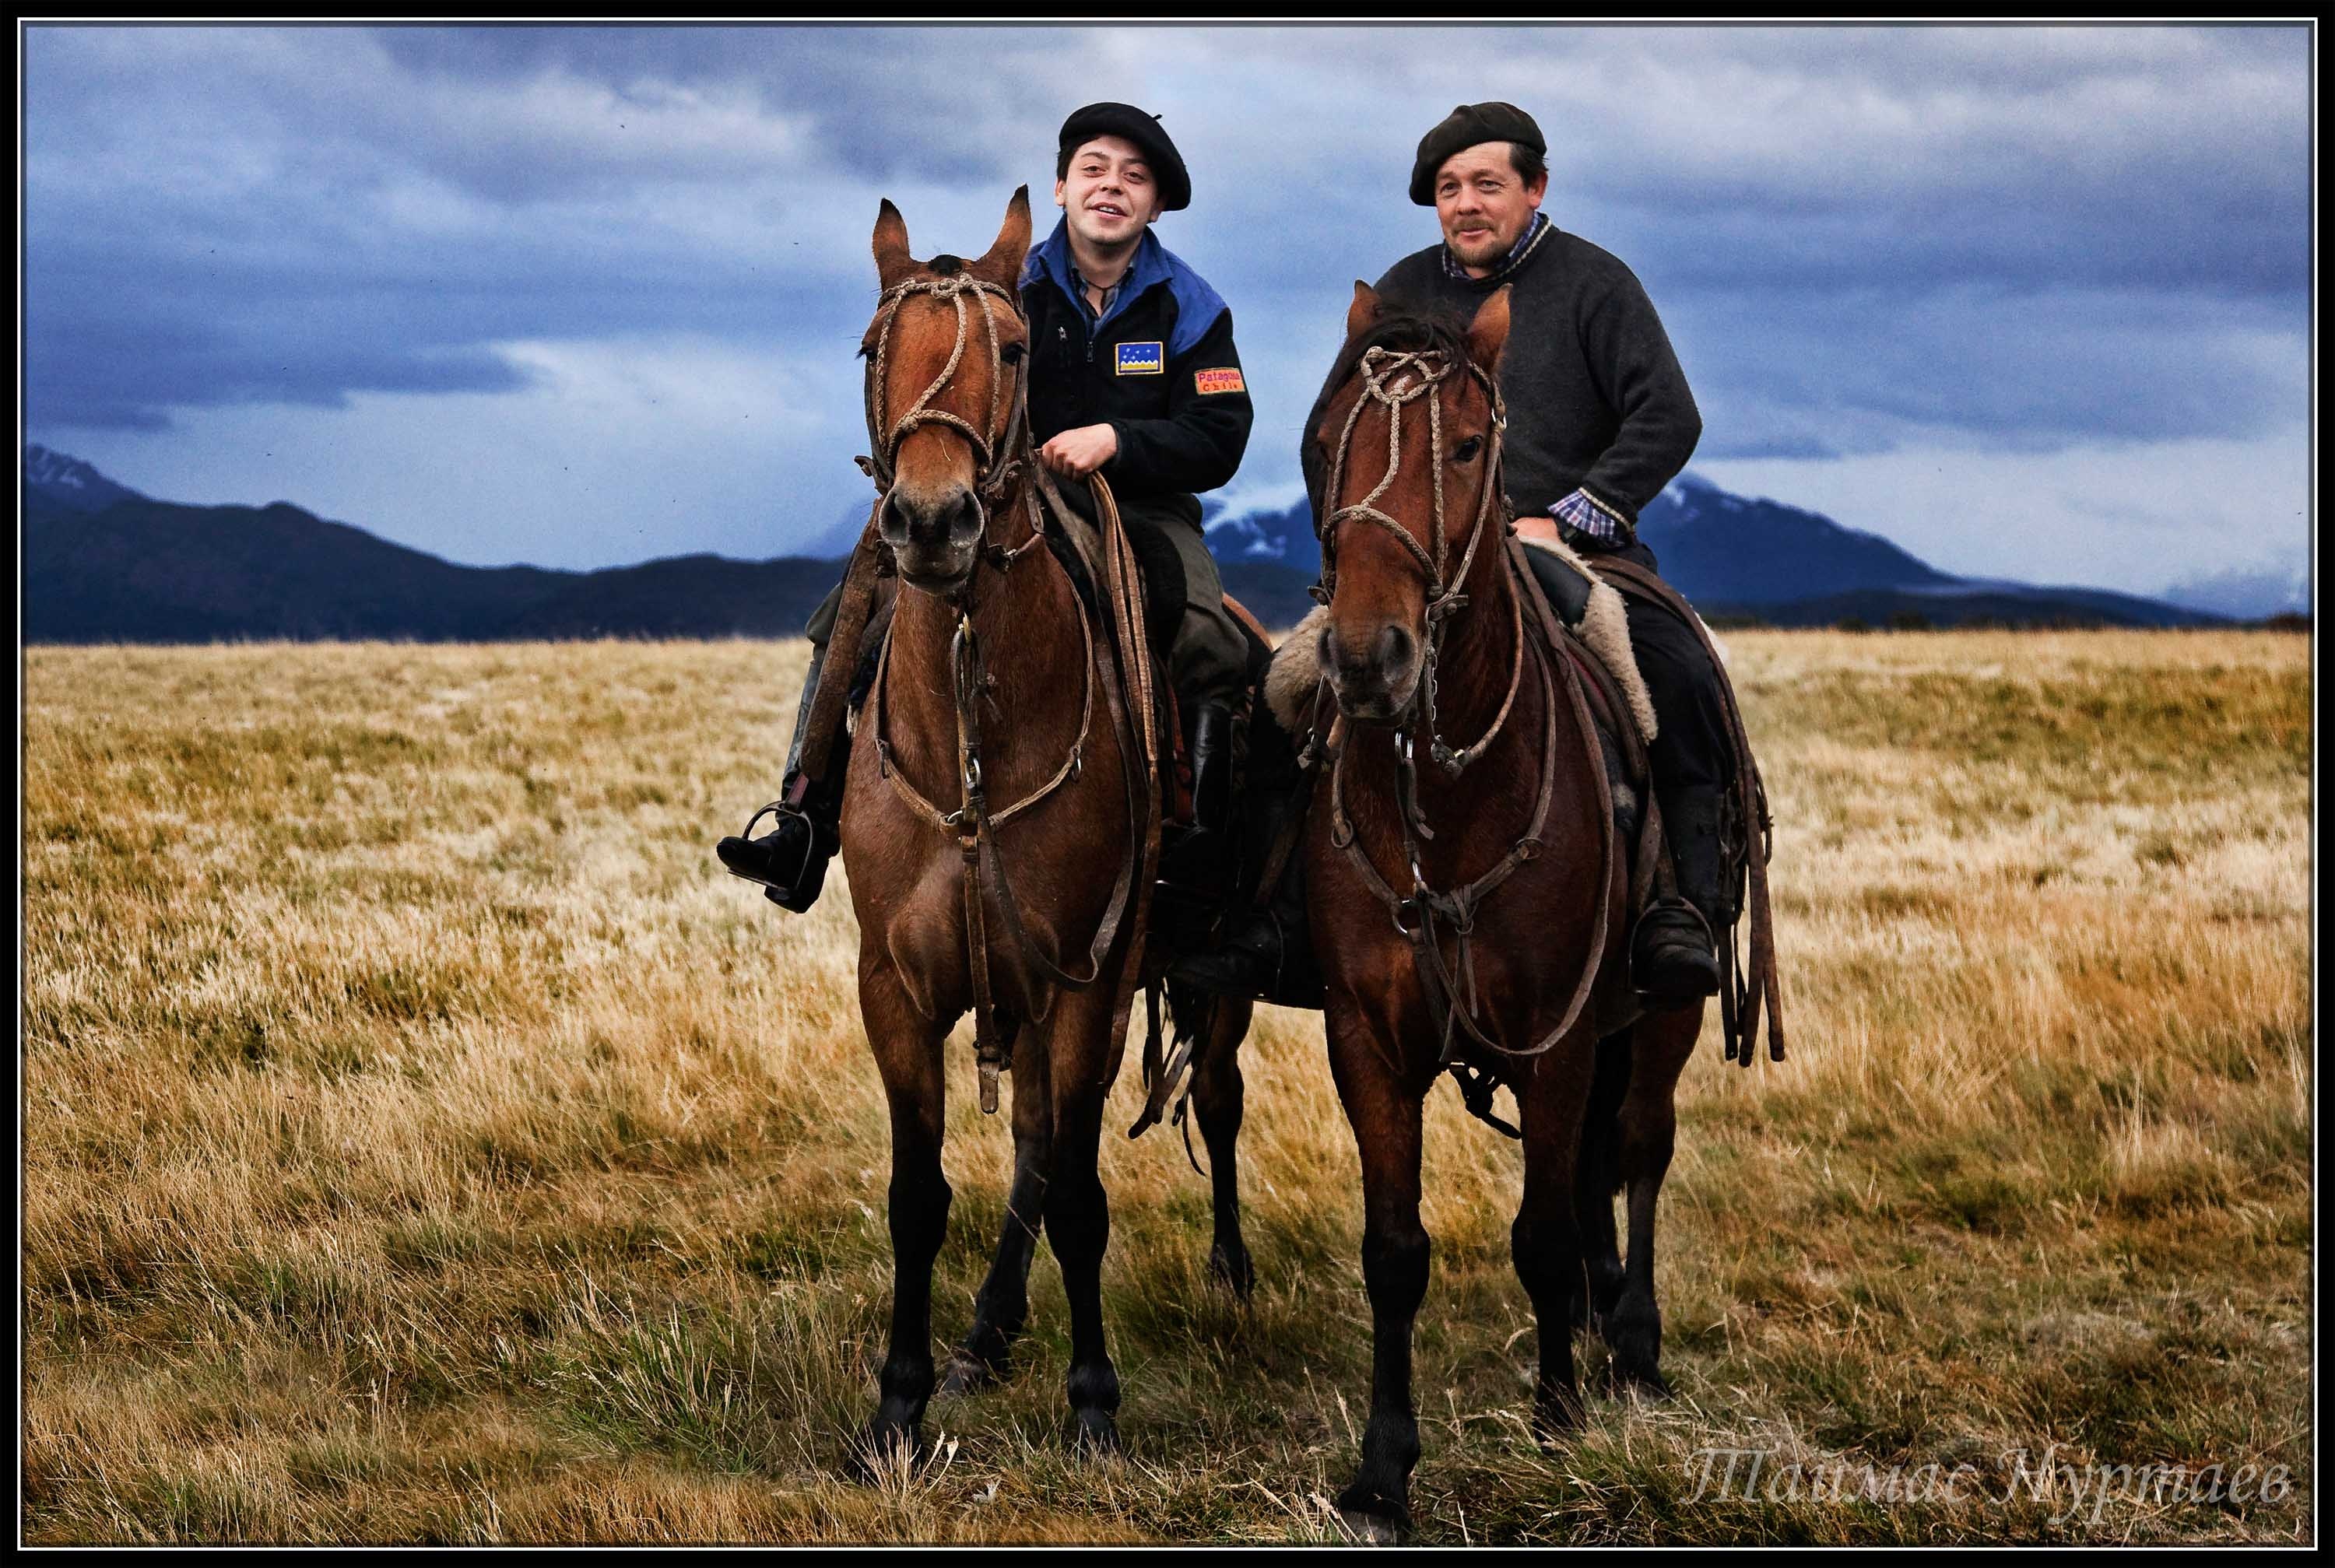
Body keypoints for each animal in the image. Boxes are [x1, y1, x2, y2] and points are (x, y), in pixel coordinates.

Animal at [831, 190, 1252, 1465]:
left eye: (1014, 350)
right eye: (873, 350)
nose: (932, 521)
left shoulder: (1085, 980)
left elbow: (1077, 1191)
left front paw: (1094, 1399)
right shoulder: (897, 987)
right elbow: (921, 1194)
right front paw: (901, 1398)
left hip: (1200, 976)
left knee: (1212, 1099)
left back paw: (1229, 1269)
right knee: (1025, 1142)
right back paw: (986, 1332)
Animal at [1308, 284, 1709, 1531]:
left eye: (1472, 446)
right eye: (1327, 439)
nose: (1370, 657)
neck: (1448, 798)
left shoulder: (1559, 1034)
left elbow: (1542, 1230)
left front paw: (1558, 1417)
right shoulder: (1369, 1041)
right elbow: (1394, 1249)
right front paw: (1383, 1470)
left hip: (1661, 1013)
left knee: (1637, 1149)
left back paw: (1631, 1344)